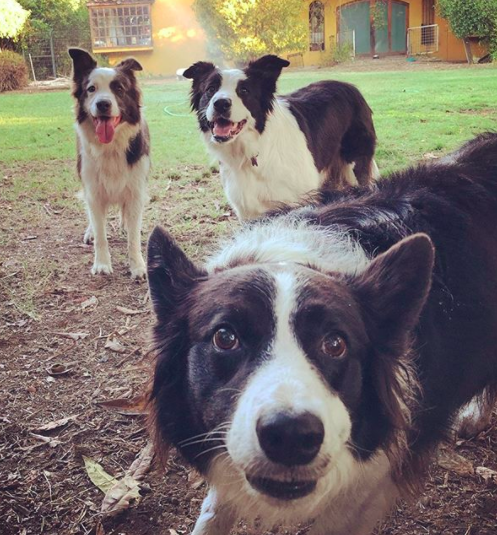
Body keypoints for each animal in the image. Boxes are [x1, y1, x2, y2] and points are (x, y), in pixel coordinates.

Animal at [69, 48, 149, 278]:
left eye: (119, 88)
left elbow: (133, 238)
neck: (111, 147)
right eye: (91, 89)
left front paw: (137, 266)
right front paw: (102, 264)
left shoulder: (135, 190)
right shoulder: (93, 192)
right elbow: (100, 233)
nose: (103, 104)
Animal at [184, 54, 378, 220]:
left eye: (244, 90)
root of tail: (351, 87)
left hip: (355, 166)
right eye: (210, 89)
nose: (220, 103)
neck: (253, 150)